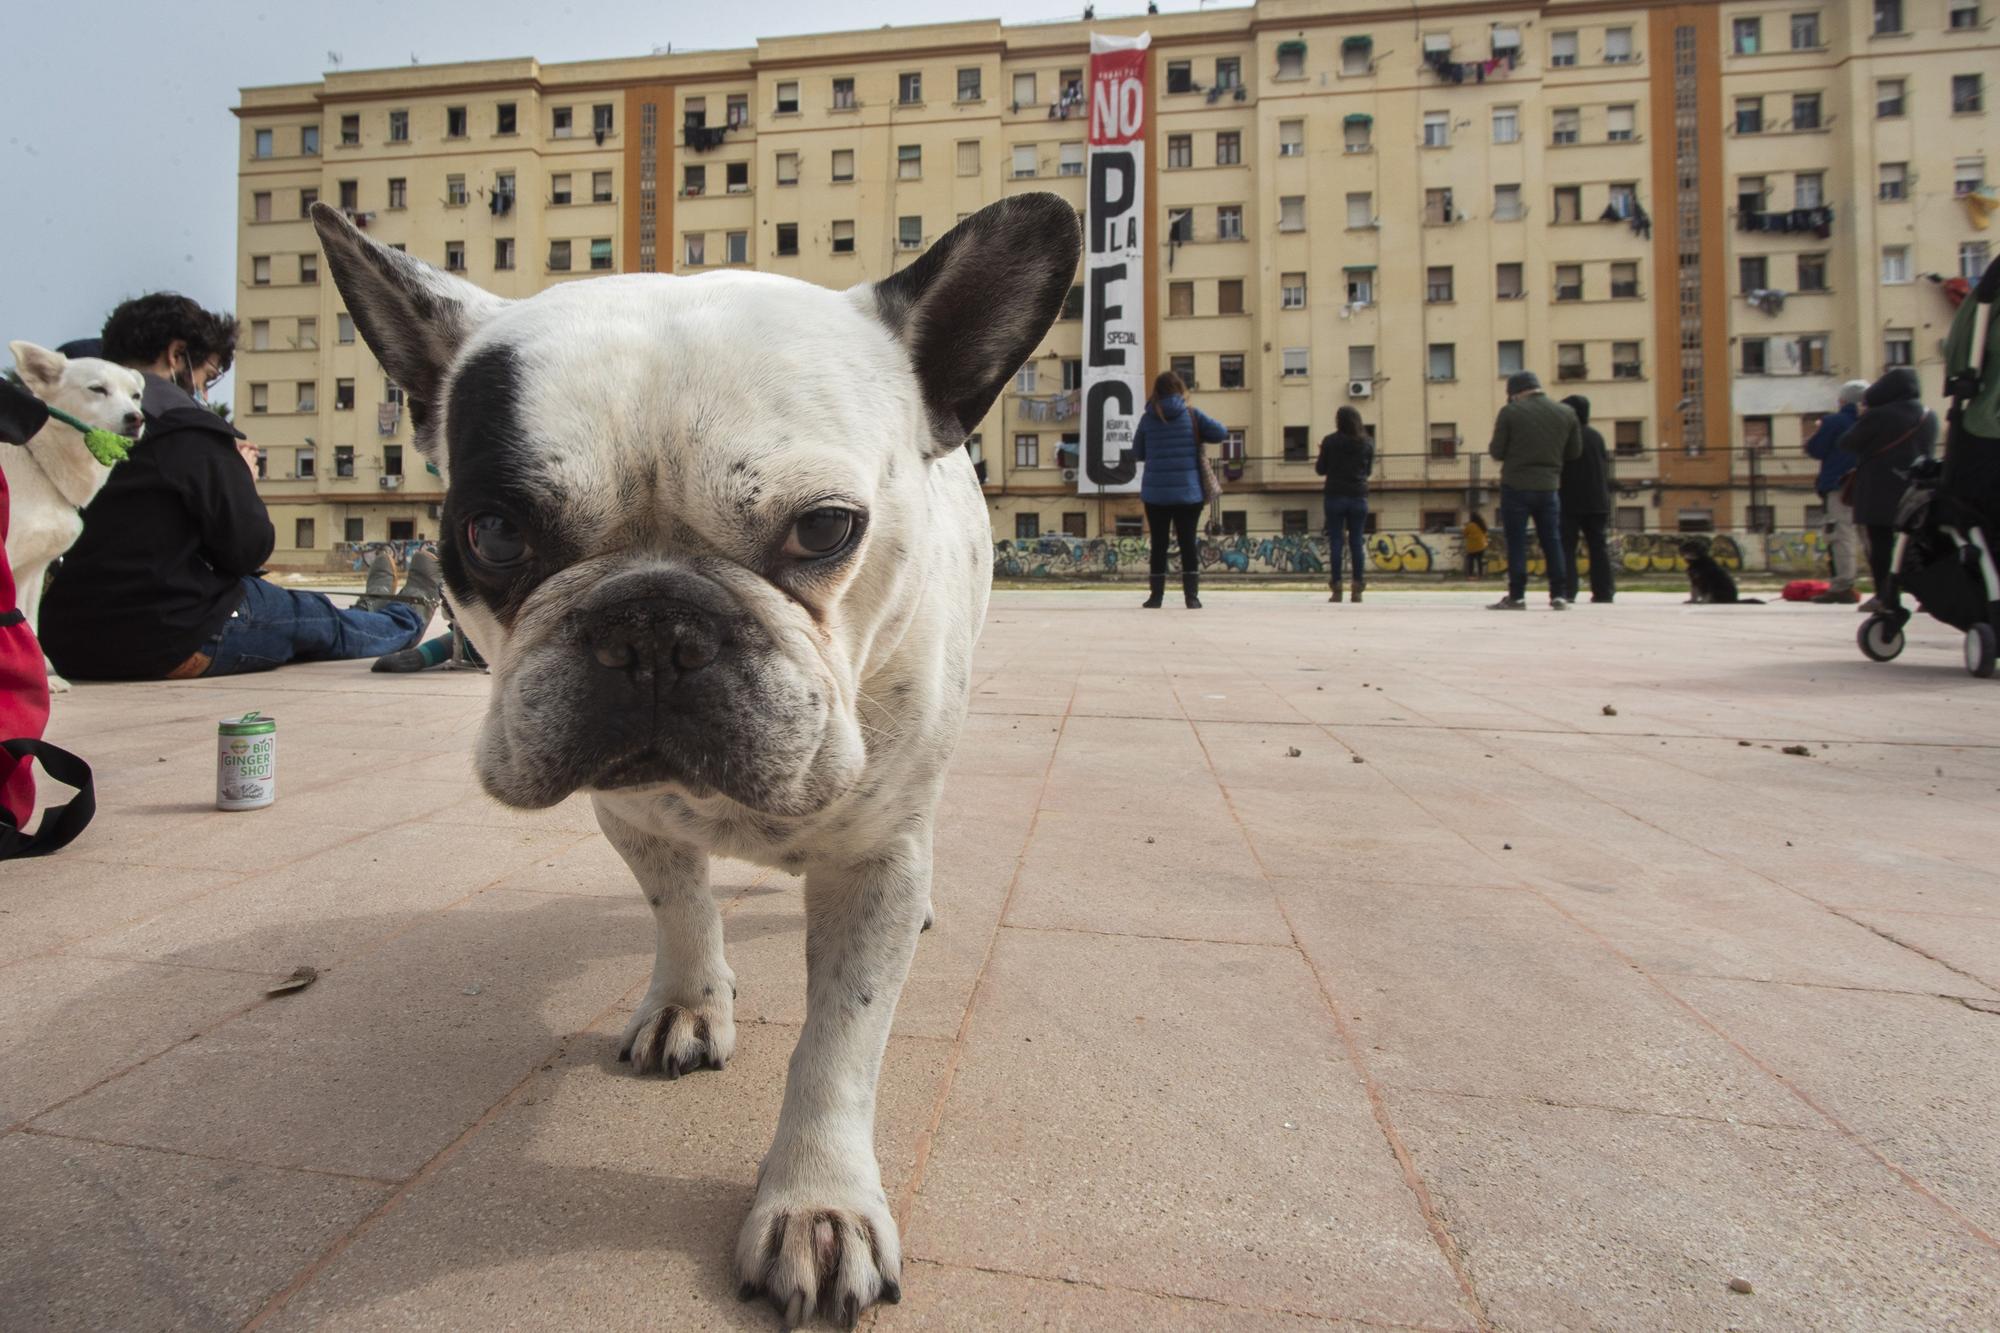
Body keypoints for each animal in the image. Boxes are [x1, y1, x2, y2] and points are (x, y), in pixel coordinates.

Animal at [5, 338, 145, 688]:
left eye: (135, 395)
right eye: (97, 389)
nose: (136, 418)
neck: (39, 462)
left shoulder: (32, 570)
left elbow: (27, 623)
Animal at [316, 195, 1080, 1320]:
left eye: (825, 529)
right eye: (492, 531)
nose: (649, 620)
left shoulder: (873, 863)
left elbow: (838, 1043)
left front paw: (818, 1202)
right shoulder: (632, 815)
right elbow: (679, 905)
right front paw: (687, 1001)